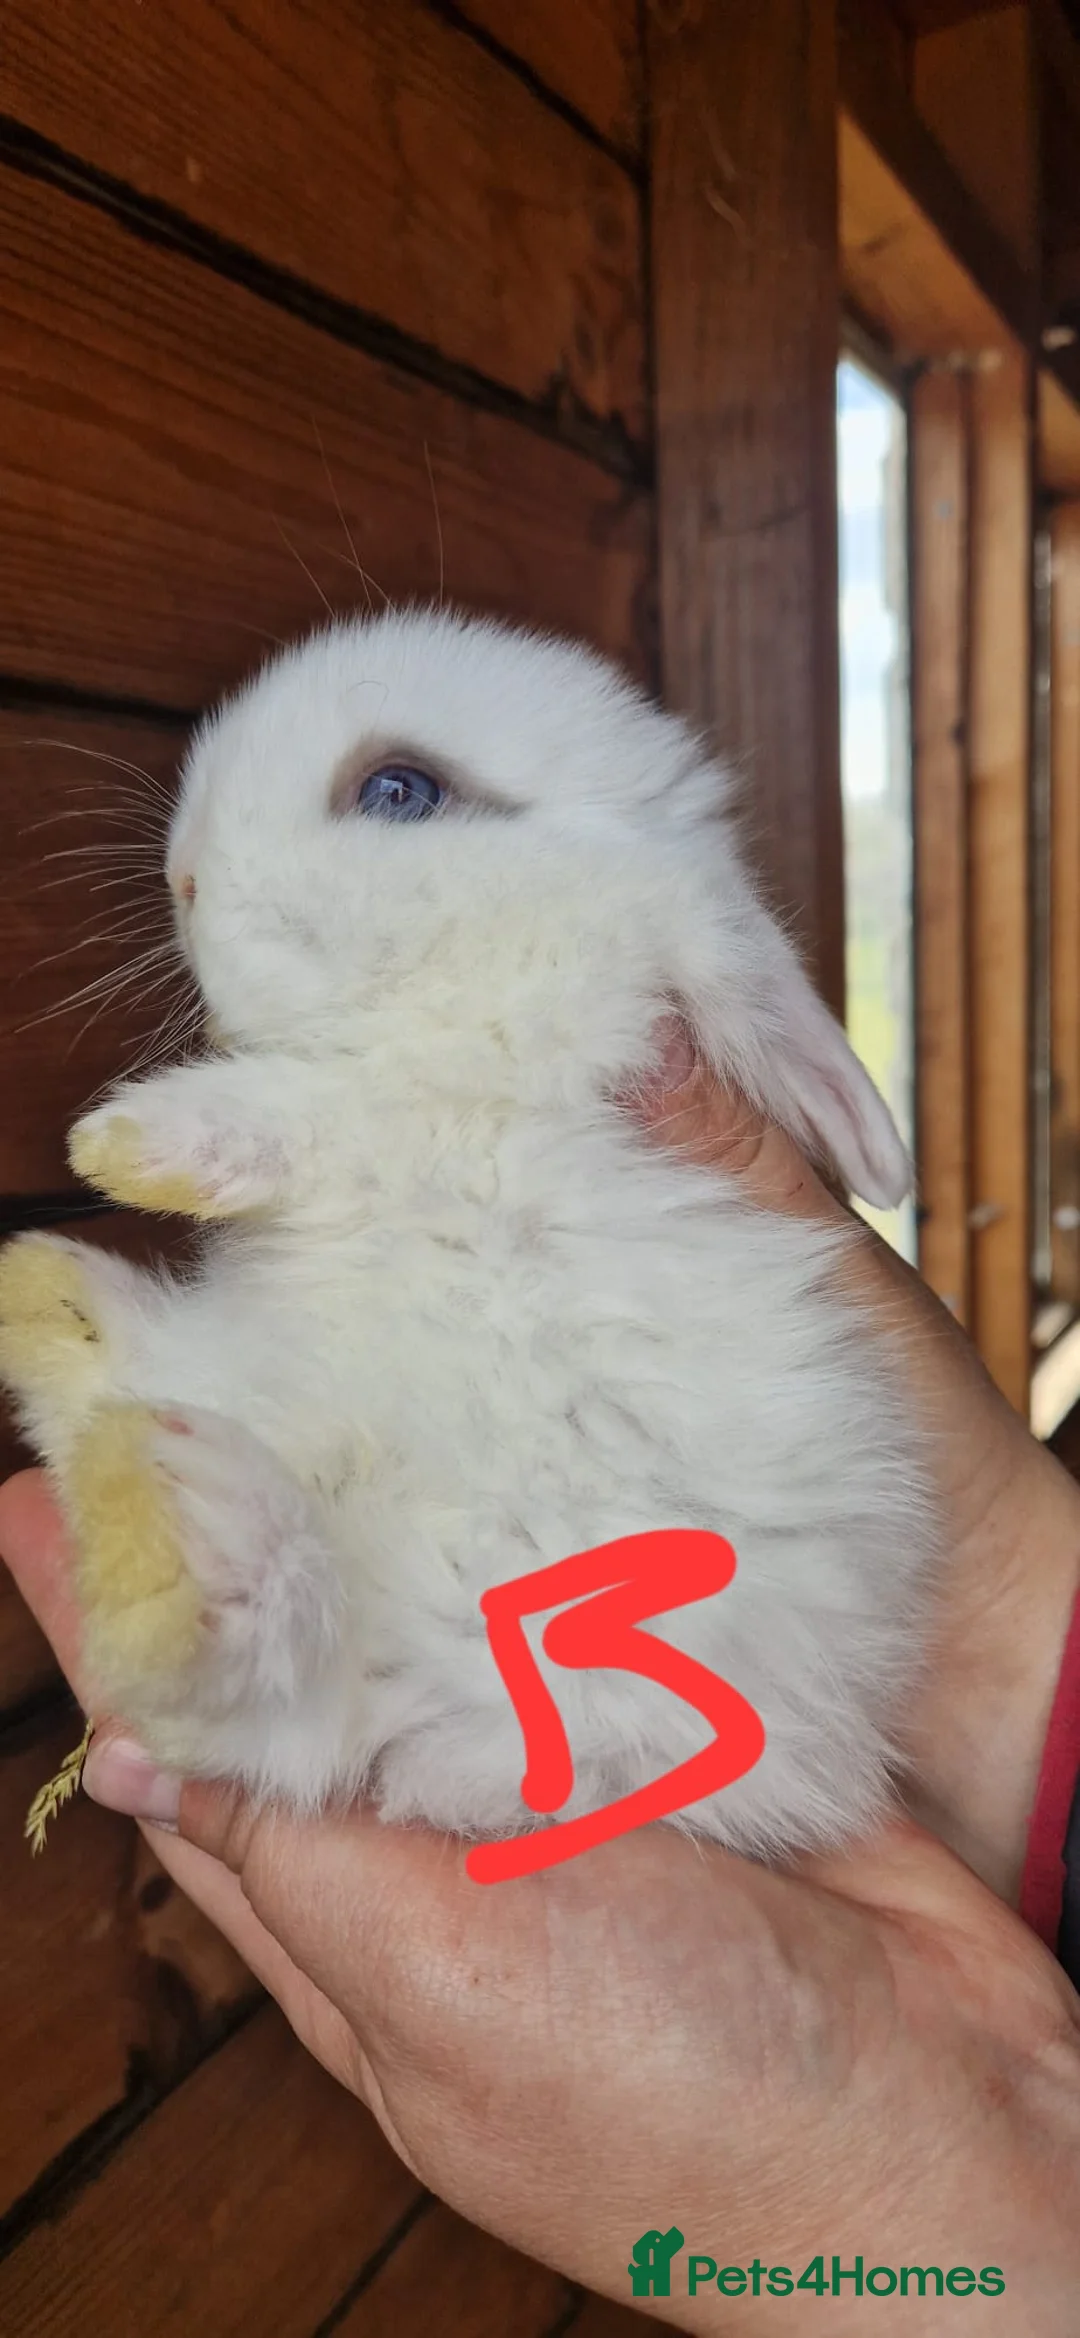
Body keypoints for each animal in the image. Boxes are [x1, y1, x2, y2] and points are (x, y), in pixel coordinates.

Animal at [0, 608, 934, 1859]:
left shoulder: (445, 1105)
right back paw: (55, 1313)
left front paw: (120, 1141)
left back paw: (177, 1519)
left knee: (273, 1680)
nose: (182, 875)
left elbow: (311, 1109)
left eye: (400, 790)